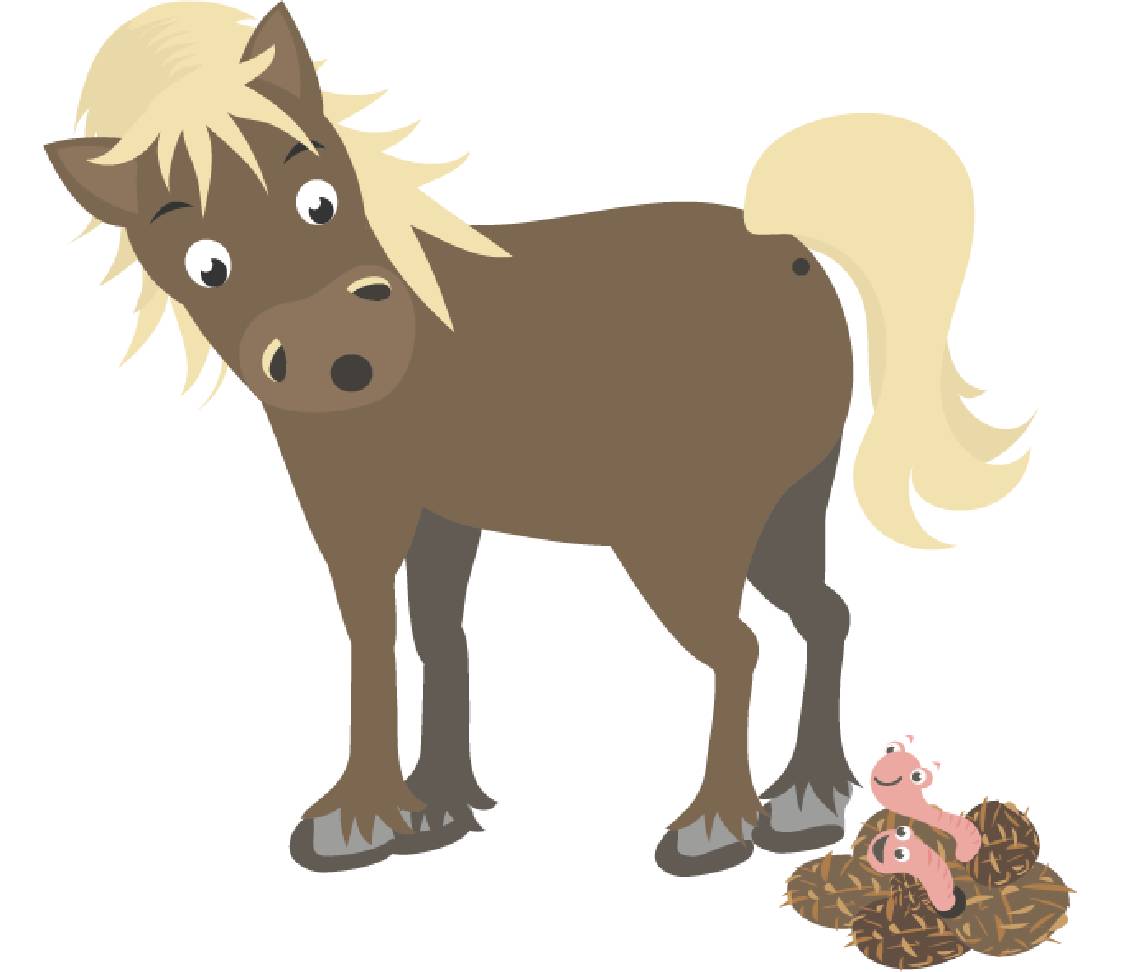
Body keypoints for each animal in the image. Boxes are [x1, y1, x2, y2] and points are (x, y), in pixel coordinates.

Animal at [46, 2, 1028, 876]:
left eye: (318, 200)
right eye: (206, 265)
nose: (338, 358)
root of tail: (786, 251)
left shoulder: (358, 508)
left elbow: (372, 637)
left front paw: (359, 820)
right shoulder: (442, 514)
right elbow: (437, 636)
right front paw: (434, 806)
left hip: (684, 535)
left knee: (741, 649)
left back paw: (716, 826)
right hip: (785, 508)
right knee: (824, 614)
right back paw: (808, 799)